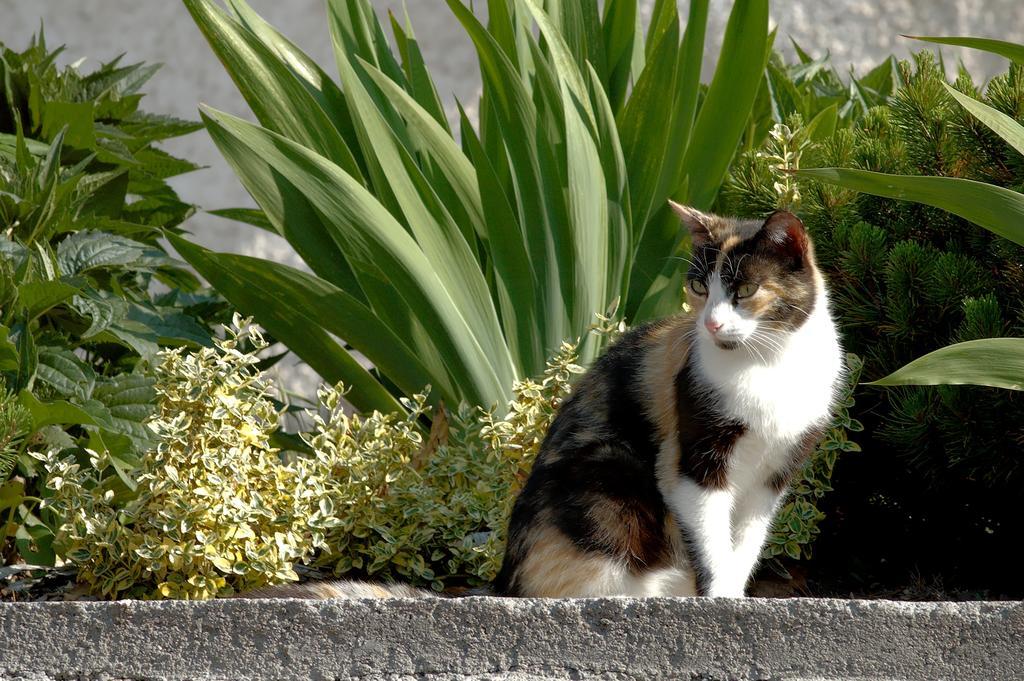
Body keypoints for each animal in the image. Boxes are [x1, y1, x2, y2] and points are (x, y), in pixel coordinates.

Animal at [491, 202, 843, 593]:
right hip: (612, 472)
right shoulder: (693, 460)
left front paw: (734, 593)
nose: (711, 324)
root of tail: (504, 579)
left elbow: (746, 546)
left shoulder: (773, 476)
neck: (768, 363)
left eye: (747, 289)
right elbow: (712, 545)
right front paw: (719, 597)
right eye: (699, 286)